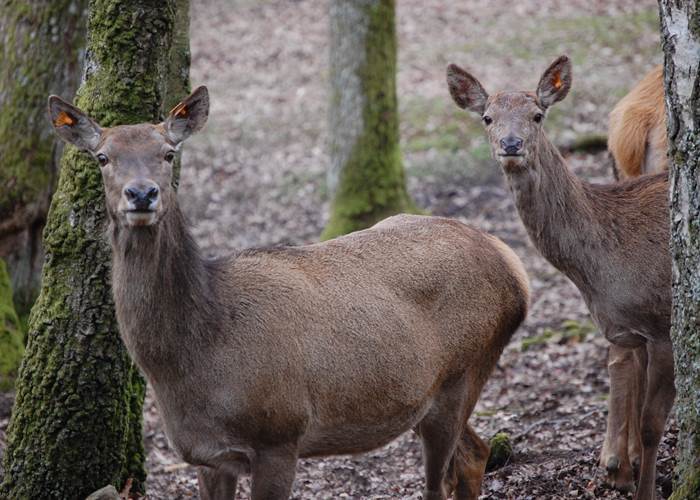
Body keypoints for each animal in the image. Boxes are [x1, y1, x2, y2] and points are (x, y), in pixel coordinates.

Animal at [48, 87, 530, 500]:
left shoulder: (280, 434)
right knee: (474, 456)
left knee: (443, 478)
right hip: (431, 397)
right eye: (103, 157)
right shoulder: (208, 456)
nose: (142, 193)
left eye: (168, 154)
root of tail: (513, 265)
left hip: (463, 372)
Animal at [446, 56, 673, 500]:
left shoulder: (664, 320)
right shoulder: (633, 328)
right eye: (487, 117)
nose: (511, 144)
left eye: (537, 114)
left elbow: (653, 424)